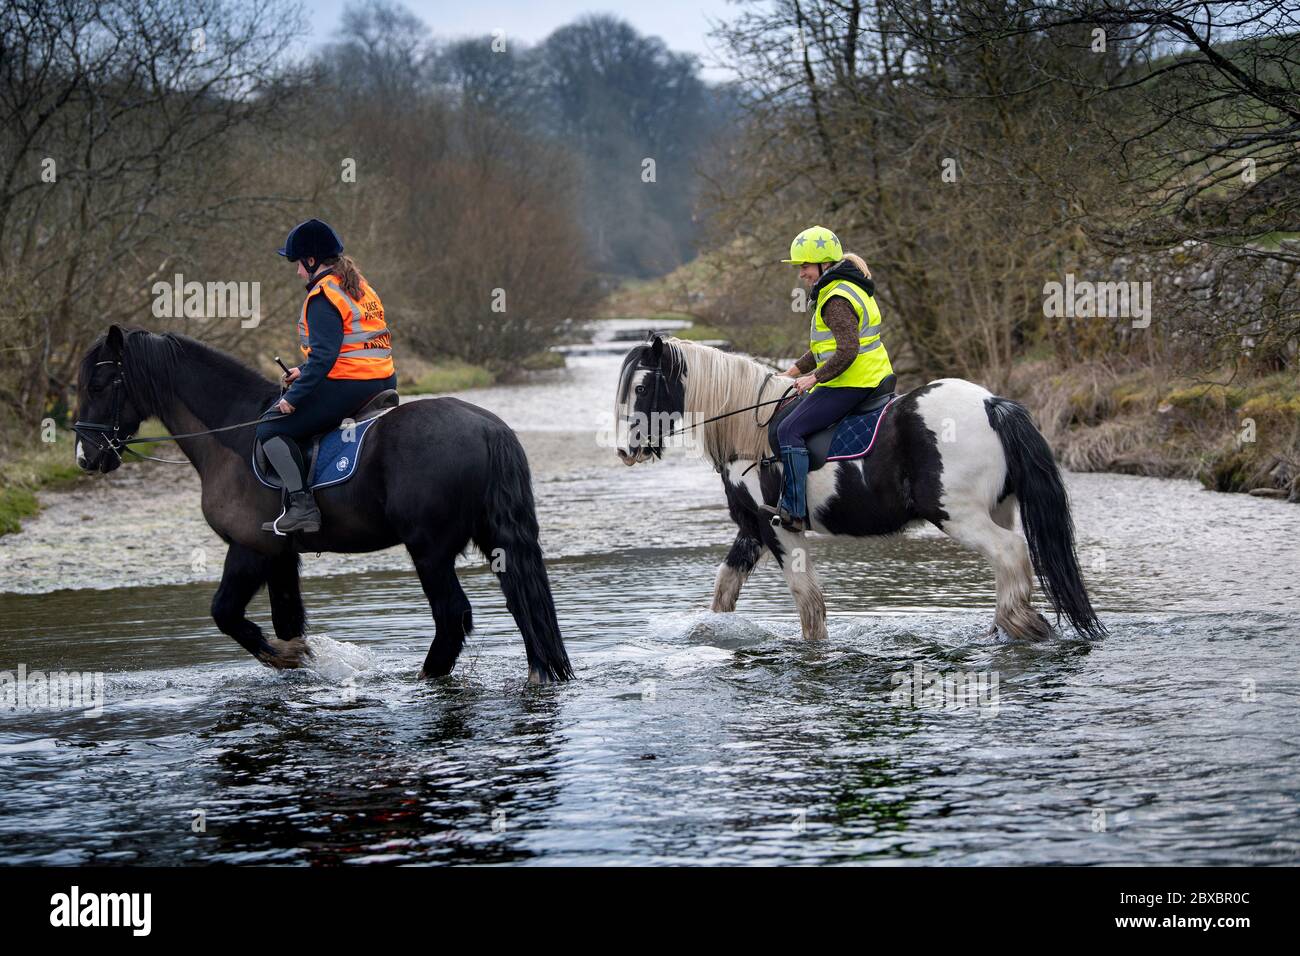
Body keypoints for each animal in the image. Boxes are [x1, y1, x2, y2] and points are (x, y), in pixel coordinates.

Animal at [73, 325, 574, 683]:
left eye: (100, 383)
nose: (85, 456)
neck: (232, 434)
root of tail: (488, 427)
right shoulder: (279, 556)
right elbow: (286, 619)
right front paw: (300, 661)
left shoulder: (250, 549)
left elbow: (226, 613)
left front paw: (289, 657)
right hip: (494, 541)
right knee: (523, 603)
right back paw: (540, 673)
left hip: (429, 550)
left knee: (453, 615)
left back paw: (427, 676)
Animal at [614, 334, 1105, 643]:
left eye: (641, 386)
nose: (624, 450)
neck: (747, 429)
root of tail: (992, 403)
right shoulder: (753, 528)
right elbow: (725, 587)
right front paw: (709, 634)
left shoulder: (778, 528)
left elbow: (807, 601)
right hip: (997, 508)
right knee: (1010, 564)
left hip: (958, 515)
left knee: (1010, 553)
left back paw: (1019, 624)